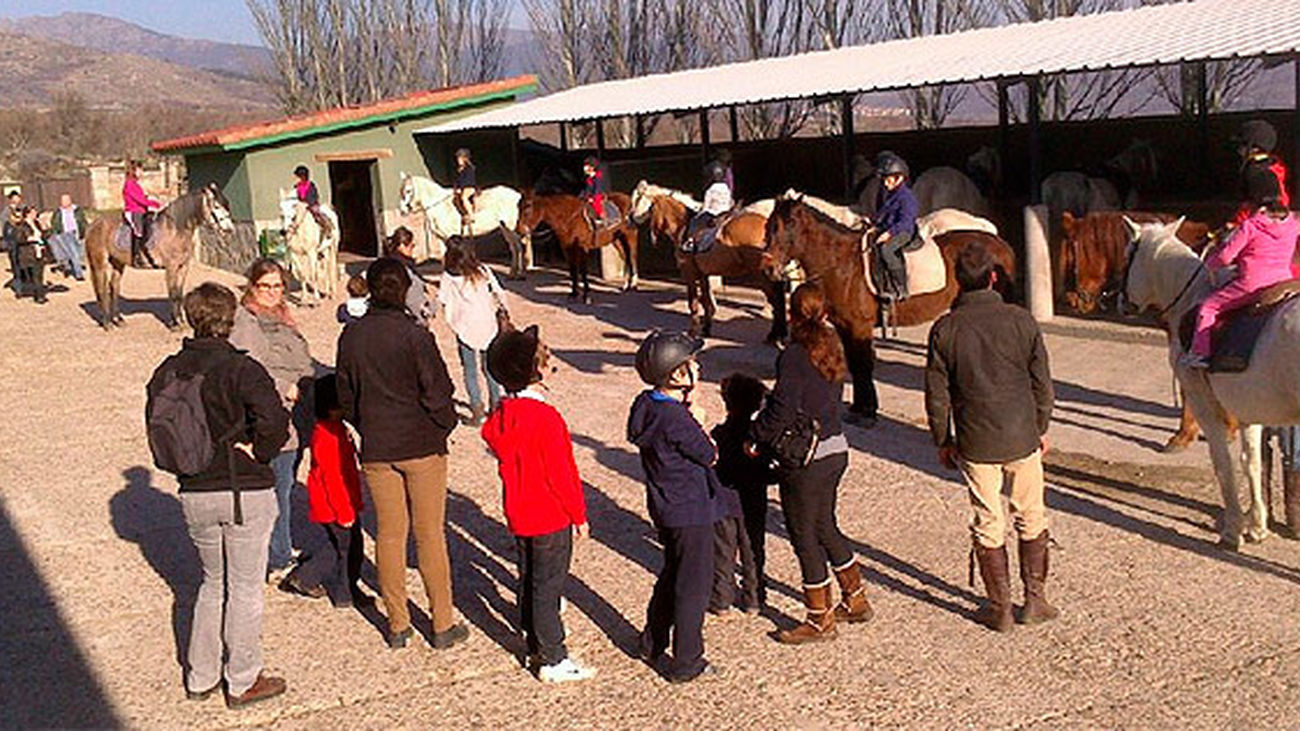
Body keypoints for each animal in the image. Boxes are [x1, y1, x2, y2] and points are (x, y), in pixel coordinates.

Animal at [84, 183, 234, 330]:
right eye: (216, 206)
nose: (229, 230)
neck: (175, 229)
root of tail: (94, 224)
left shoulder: (183, 267)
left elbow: (179, 294)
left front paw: (181, 322)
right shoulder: (171, 267)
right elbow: (173, 294)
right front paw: (176, 324)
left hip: (118, 262)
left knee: (114, 286)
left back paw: (118, 320)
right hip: (99, 263)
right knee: (102, 289)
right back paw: (107, 323)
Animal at [398, 172, 528, 278]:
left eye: (408, 190)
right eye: (401, 191)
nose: (402, 211)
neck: (441, 207)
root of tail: (517, 194)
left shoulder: (450, 237)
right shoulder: (441, 238)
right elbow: (443, 257)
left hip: (510, 227)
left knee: (518, 246)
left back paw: (519, 273)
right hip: (504, 228)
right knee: (513, 247)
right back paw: (512, 273)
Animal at [630, 181, 787, 343]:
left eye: (638, 199)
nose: (631, 218)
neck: (684, 225)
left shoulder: (689, 274)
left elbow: (693, 303)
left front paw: (693, 332)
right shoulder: (703, 274)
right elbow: (706, 302)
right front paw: (706, 329)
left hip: (760, 274)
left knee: (775, 299)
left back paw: (774, 334)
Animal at [762, 196, 1017, 422]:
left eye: (790, 224)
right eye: (768, 225)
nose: (768, 268)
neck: (842, 263)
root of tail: (1001, 244)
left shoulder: (860, 327)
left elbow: (863, 365)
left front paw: (867, 411)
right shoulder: (844, 326)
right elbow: (855, 365)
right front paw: (859, 407)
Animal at [1120, 217, 1300, 548]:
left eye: (1128, 256)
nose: (1120, 301)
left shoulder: (1204, 405)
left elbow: (1223, 463)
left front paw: (1233, 529)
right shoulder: (1247, 409)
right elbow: (1251, 462)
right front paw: (1256, 526)